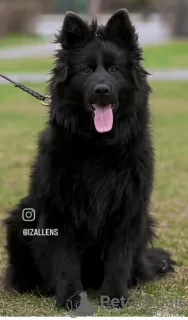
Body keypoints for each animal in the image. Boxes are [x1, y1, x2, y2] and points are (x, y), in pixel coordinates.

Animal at [4, 10, 175, 308]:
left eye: (114, 69)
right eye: (86, 70)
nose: (102, 90)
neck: (98, 147)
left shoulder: (128, 208)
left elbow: (118, 258)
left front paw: (115, 296)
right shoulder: (58, 209)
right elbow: (65, 260)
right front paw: (71, 298)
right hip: (20, 217)